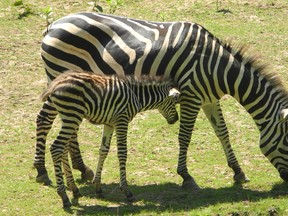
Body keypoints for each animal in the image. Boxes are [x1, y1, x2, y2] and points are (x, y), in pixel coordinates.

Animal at [35, 12, 288, 190]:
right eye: (287, 143)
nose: (287, 182)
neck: (218, 69)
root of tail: (53, 25)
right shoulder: (191, 96)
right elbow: (185, 136)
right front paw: (186, 176)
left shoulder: (209, 99)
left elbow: (222, 132)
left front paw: (237, 171)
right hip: (59, 74)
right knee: (43, 119)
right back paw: (41, 170)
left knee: (67, 128)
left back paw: (82, 168)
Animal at [40, 70, 179, 207]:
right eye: (173, 102)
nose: (176, 119)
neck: (136, 96)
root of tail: (56, 83)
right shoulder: (122, 120)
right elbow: (122, 153)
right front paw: (126, 191)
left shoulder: (109, 124)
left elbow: (103, 151)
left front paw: (98, 187)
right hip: (73, 116)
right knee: (56, 148)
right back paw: (64, 197)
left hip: (68, 117)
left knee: (63, 149)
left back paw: (74, 189)